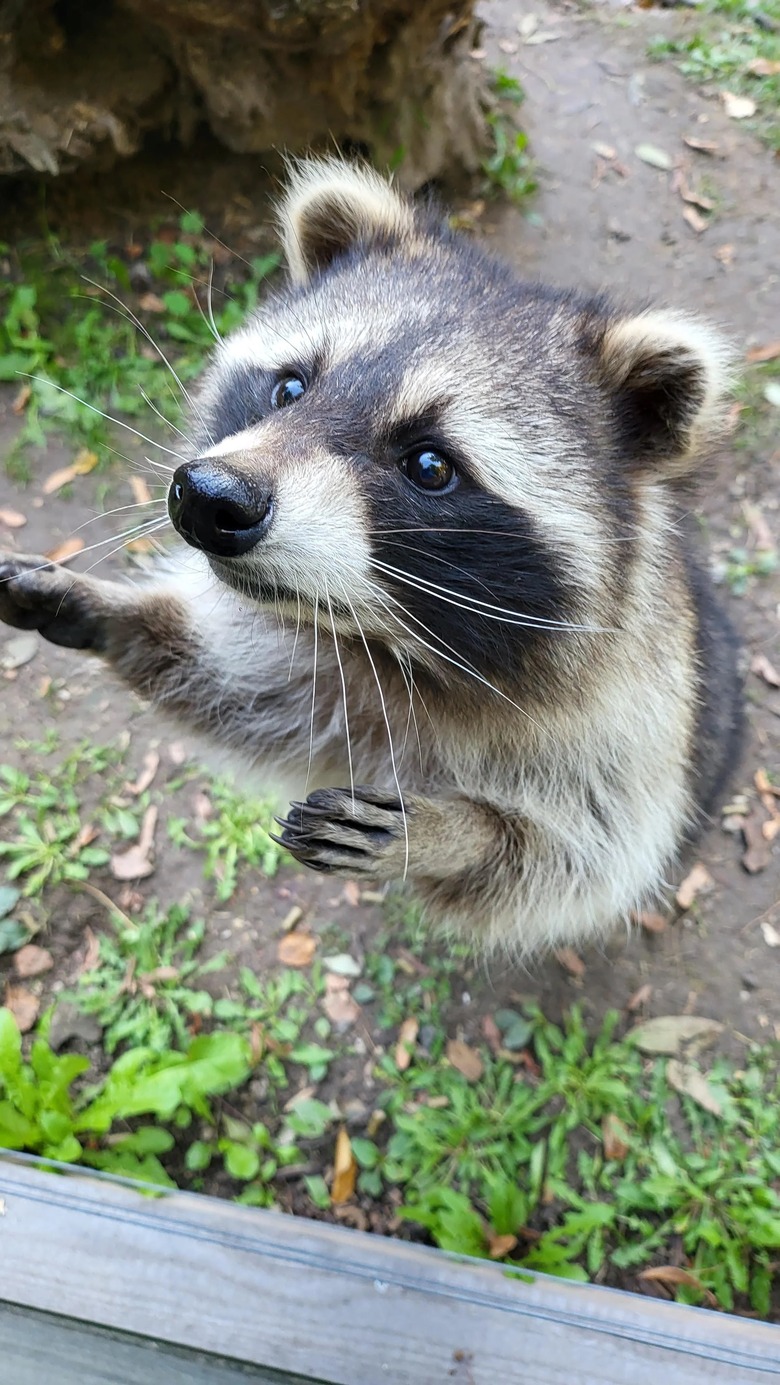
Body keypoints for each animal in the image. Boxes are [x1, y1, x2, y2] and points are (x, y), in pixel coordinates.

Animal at [0, 159, 742, 952]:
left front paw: (455, 832)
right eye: (289, 386)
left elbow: (577, 862)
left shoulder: (628, 722)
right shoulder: (313, 657)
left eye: (429, 465)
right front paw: (112, 609)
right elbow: (239, 686)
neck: (392, 640)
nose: (209, 498)